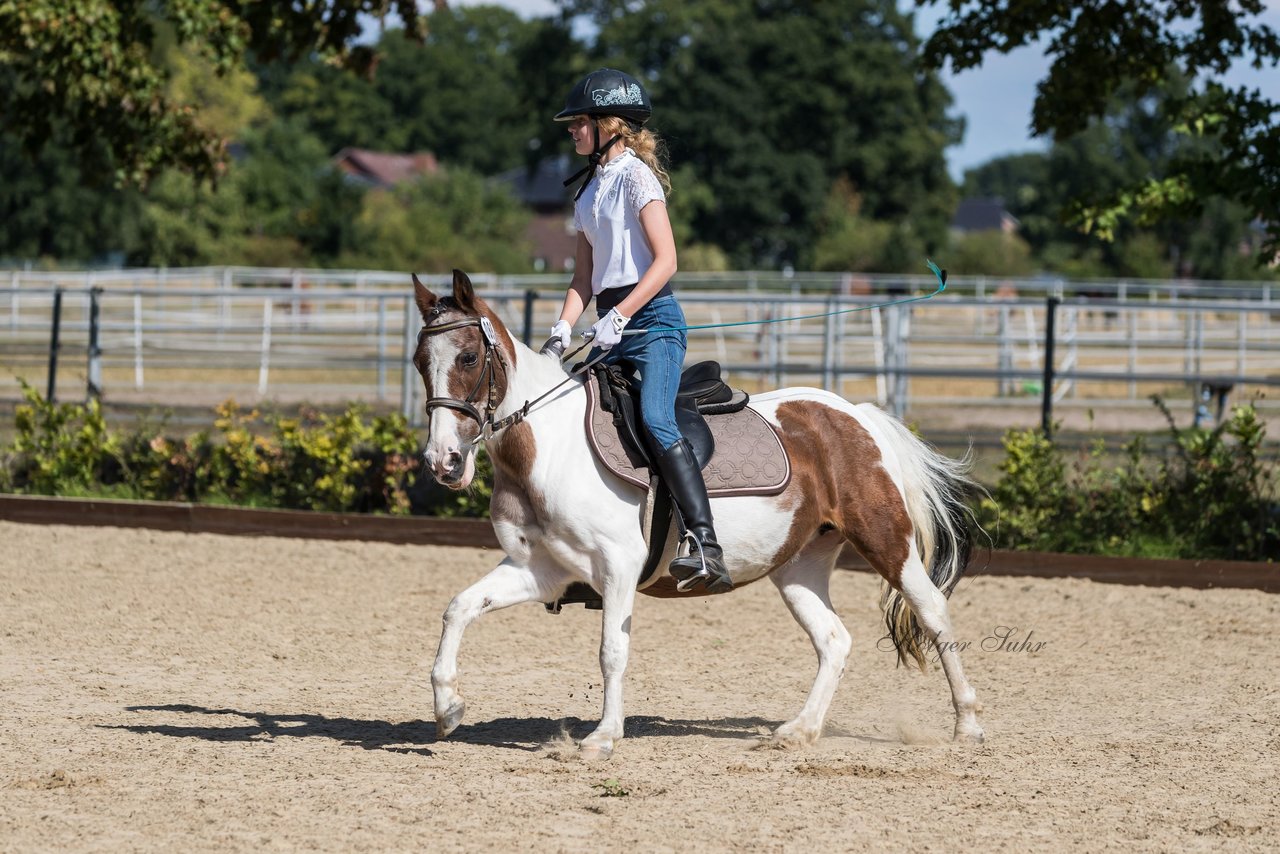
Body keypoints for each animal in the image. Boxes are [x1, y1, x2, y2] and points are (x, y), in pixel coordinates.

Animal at [414, 270, 983, 757]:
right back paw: (799, 731)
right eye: (421, 361)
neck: (550, 447)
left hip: (885, 539)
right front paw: (448, 708)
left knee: (933, 612)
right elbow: (458, 608)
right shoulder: (542, 570)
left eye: (469, 358)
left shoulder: (617, 566)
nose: (444, 462)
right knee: (834, 640)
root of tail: (853, 414)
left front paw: (603, 737)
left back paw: (967, 725)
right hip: (798, 564)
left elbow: (612, 651)